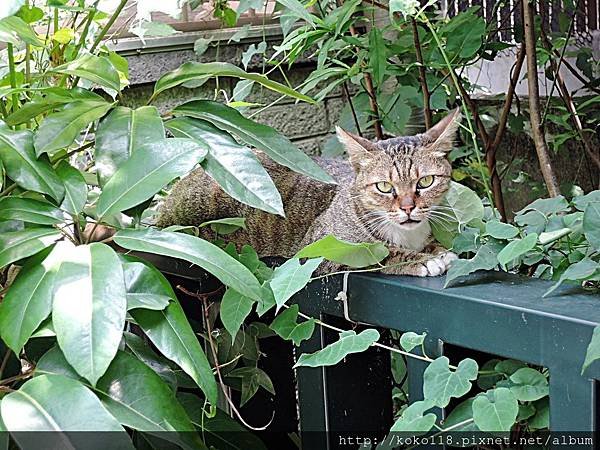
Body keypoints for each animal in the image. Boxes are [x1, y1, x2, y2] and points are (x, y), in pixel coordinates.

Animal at [157, 110, 462, 276]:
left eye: (425, 182)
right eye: (384, 187)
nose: (408, 207)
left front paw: (435, 249)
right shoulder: (318, 247)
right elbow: (377, 252)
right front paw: (425, 260)